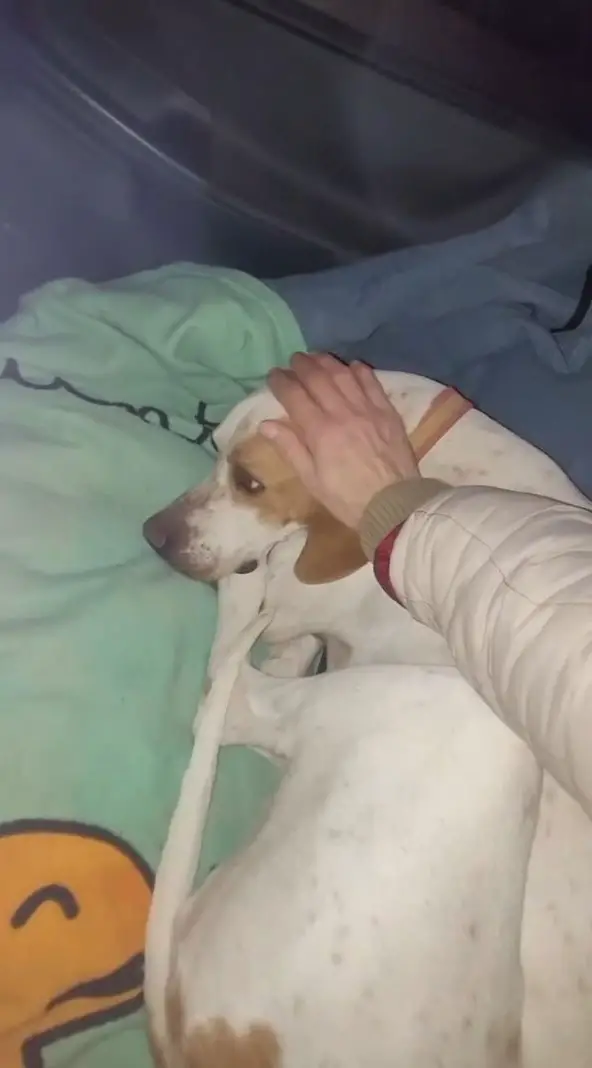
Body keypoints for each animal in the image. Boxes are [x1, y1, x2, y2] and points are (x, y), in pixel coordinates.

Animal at [143, 373, 589, 1068]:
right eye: (212, 448)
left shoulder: (294, 597)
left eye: (250, 482)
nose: (153, 535)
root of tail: (207, 1040)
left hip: (477, 723)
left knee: (230, 688)